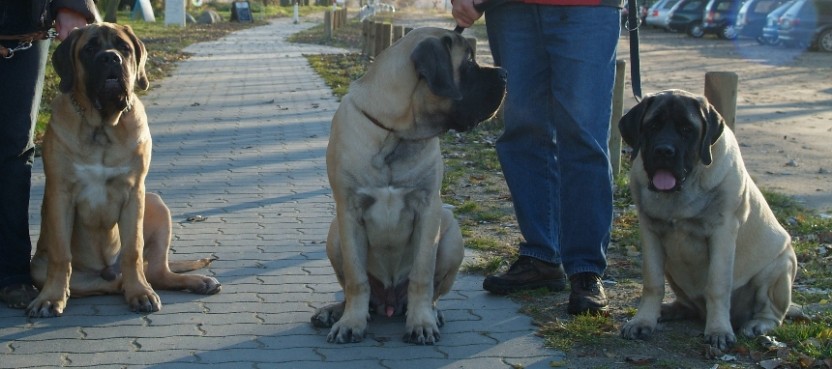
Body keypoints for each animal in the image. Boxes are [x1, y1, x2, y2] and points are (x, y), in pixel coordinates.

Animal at [28, 22, 219, 316]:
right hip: (39, 266)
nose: (110, 58)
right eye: (90, 49)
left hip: (156, 203)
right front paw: (50, 298)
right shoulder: (60, 195)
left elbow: (133, 250)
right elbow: (61, 254)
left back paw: (192, 283)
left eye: (124, 48)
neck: (102, 126)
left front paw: (140, 293)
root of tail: (107, 271)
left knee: (156, 272)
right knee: (116, 281)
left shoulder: (134, 193)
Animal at [312, 27, 508, 344]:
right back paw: (334, 312)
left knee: (434, 292)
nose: (504, 73)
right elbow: (356, 279)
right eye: (467, 63)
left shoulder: (428, 209)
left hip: (452, 236)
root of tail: (389, 303)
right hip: (334, 235)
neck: (396, 134)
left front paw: (422, 323)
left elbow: (422, 275)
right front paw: (350, 323)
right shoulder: (348, 210)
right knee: (351, 288)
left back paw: (432, 313)